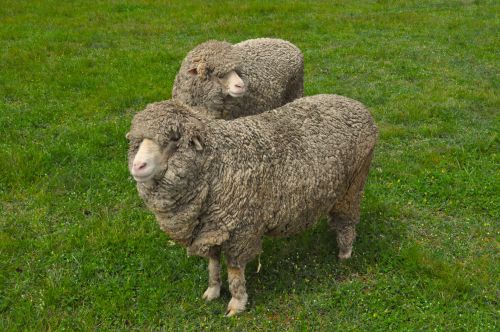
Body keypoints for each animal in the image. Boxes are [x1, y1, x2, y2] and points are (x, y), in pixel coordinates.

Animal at [126, 94, 378, 316]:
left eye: (174, 139)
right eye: (137, 142)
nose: (138, 166)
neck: (216, 164)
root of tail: (356, 105)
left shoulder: (241, 230)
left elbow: (234, 269)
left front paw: (237, 303)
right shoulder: (211, 228)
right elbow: (213, 263)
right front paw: (212, 291)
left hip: (353, 185)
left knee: (347, 221)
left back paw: (345, 253)